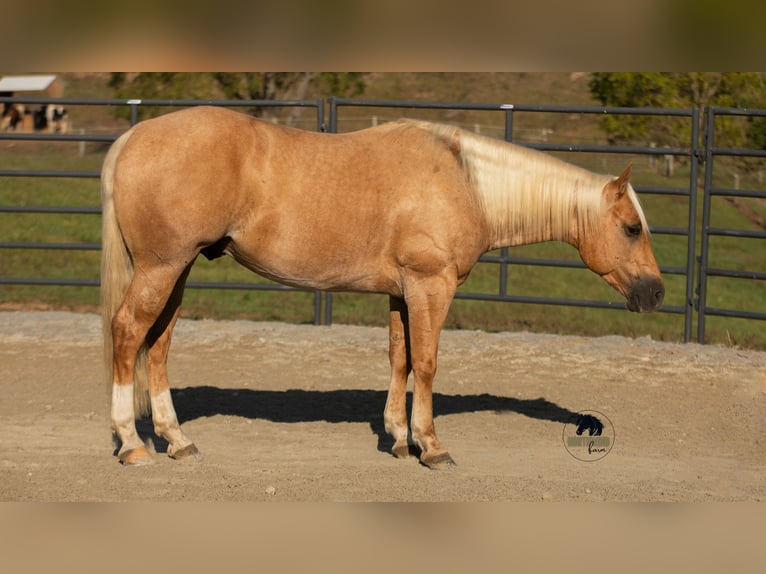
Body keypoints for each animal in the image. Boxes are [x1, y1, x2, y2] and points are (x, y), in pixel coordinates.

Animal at [100, 106, 664, 469]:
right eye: (631, 228)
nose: (656, 293)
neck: (467, 183)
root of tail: (134, 136)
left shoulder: (401, 292)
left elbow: (400, 359)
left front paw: (397, 438)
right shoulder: (431, 287)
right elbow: (427, 363)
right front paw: (430, 446)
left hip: (176, 270)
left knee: (158, 344)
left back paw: (177, 440)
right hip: (161, 268)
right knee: (128, 333)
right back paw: (132, 444)